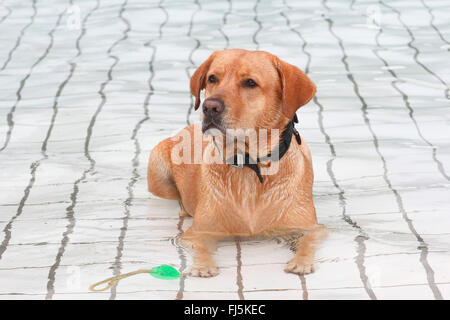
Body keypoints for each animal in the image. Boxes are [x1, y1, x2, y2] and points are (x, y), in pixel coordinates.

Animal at [148, 48, 326, 276]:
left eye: (250, 83)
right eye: (212, 78)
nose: (209, 107)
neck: (249, 164)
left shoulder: (312, 227)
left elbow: (309, 241)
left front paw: (301, 261)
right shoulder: (198, 231)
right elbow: (199, 245)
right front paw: (203, 266)